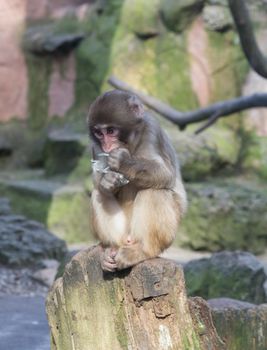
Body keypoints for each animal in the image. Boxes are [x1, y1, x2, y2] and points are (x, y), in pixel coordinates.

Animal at [89, 89, 187, 272]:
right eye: (99, 133)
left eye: (111, 131)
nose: (106, 145)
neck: (130, 145)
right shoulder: (95, 146)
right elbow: (98, 180)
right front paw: (109, 181)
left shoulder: (151, 130)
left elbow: (166, 174)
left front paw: (123, 162)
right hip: (124, 232)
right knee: (98, 193)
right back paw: (110, 249)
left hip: (169, 231)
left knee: (154, 190)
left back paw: (144, 250)